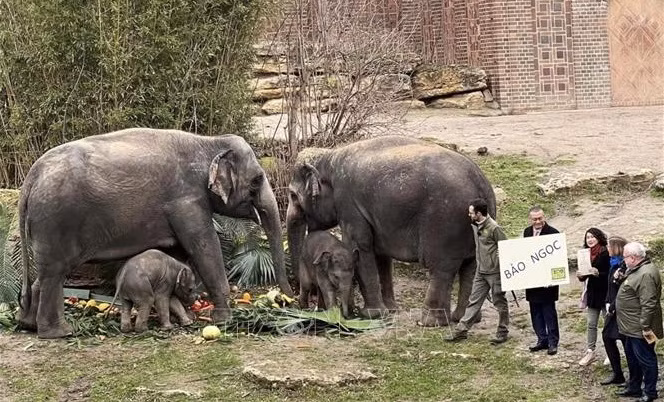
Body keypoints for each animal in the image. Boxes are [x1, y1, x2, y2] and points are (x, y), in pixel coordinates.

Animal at [17, 128, 292, 338]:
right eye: (257, 180)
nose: (289, 299)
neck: (208, 141)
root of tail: (30, 178)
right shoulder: (186, 201)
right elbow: (204, 247)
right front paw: (225, 320)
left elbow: (178, 254)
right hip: (55, 221)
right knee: (54, 273)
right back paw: (59, 333)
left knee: (45, 275)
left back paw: (29, 326)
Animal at [286, 135, 496, 326]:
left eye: (293, 195)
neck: (330, 156)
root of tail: (481, 185)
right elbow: (380, 254)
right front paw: (390, 310)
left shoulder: (348, 204)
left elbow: (360, 246)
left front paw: (370, 315)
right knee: (471, 266)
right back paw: (463, 319)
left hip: (444, 222)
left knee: (441, 268)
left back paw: (430, 323)